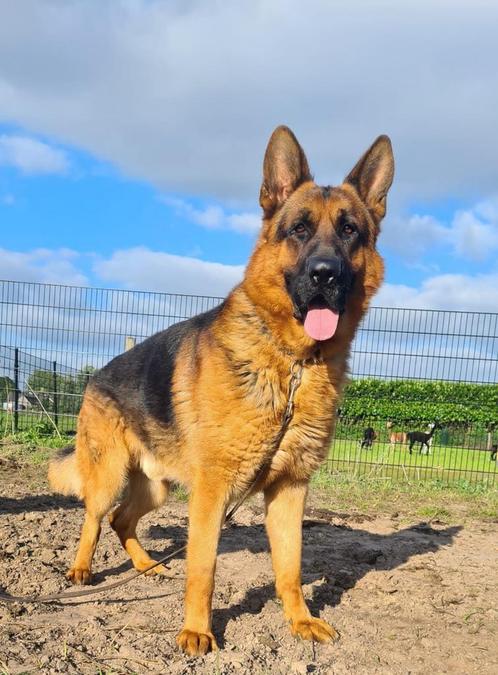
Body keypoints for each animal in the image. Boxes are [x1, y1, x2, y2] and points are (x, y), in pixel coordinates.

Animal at [48, 125, 394, 656]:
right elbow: (203, 568)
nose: (324, 273)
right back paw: (82, 569)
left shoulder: (290, 489)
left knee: (123, 520)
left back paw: (146, 566)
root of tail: (95, 376)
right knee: (94, 518)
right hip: (109, 475)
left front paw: (300, 621)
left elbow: (291, 567)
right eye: (299, 229)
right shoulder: (212, 492)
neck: (293, 364)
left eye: (350, 230)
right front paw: (196, 631)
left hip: (157, 486)